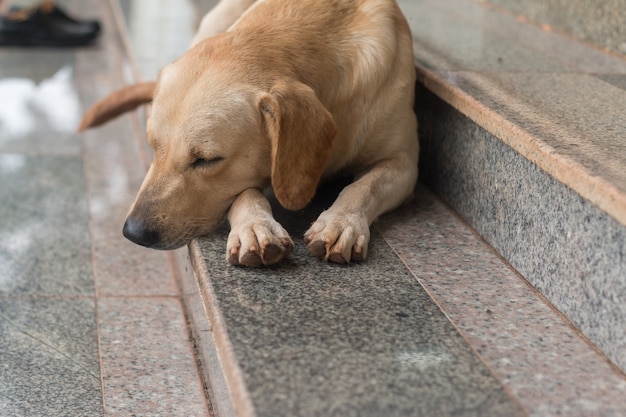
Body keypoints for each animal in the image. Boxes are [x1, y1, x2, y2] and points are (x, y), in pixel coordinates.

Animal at [80, 0, 416, 266]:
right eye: (153, 146)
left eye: (207, 160)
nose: (133, 232)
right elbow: (245, 191)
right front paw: (254, 226)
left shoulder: (404, 164)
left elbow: (365, 186)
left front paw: (341, 222)